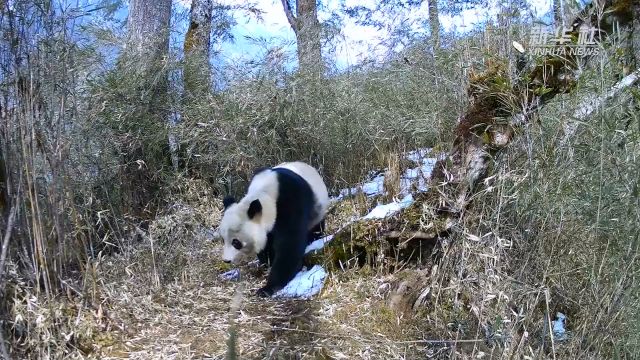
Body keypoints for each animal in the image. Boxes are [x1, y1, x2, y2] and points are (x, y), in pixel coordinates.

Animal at [220, 162, 330, 296]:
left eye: (236, 242)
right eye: (223, 239)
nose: (226, 260)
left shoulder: (291, 202)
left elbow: (289, 245)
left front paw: (267, 288)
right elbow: (266, 244)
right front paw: (268, 261)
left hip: (318, 209)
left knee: (316, 226)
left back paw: (314, 237)